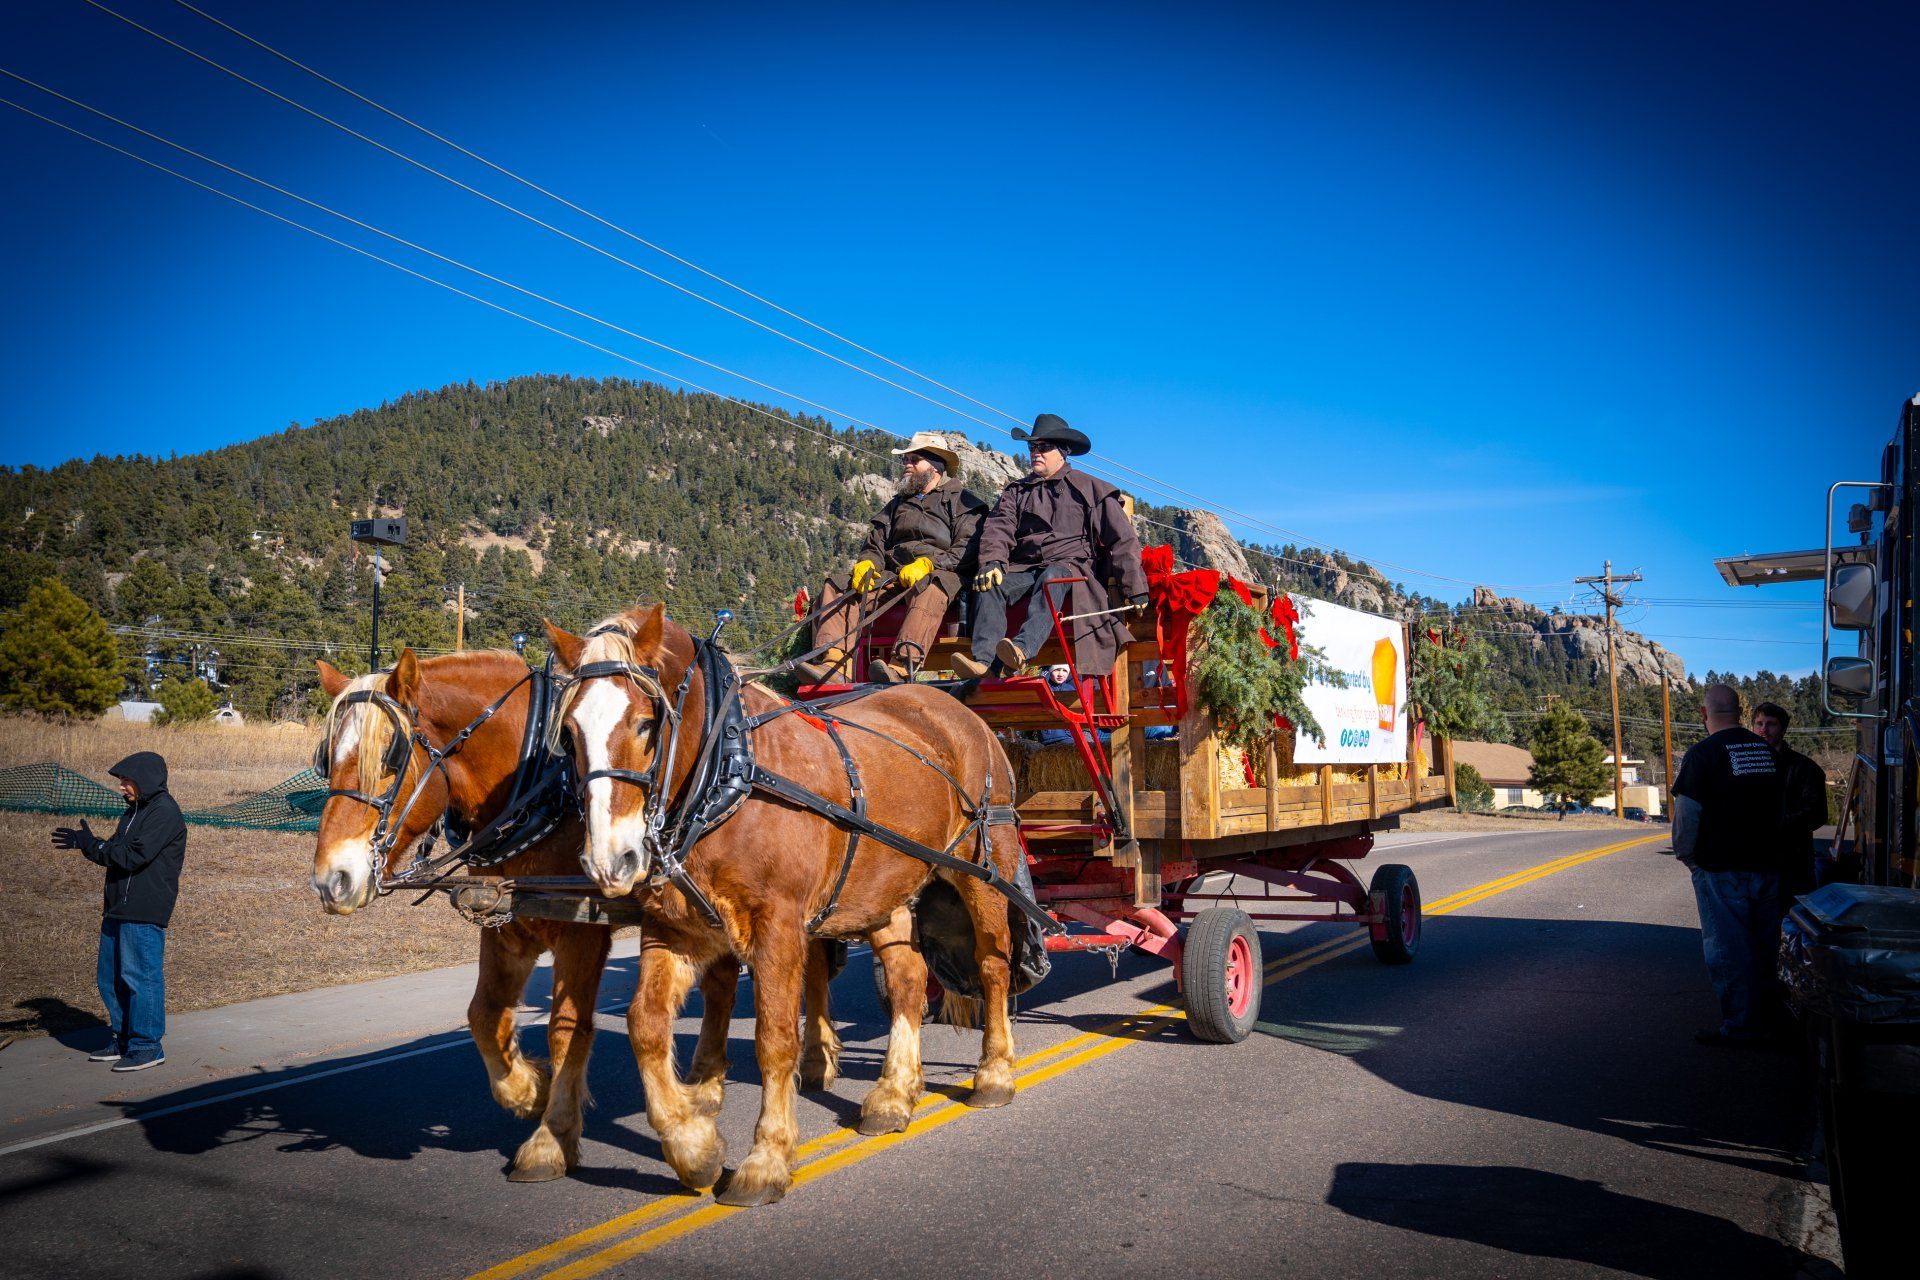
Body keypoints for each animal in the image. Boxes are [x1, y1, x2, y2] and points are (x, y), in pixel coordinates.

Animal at [311, 656, 844, 1189]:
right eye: (325, 759)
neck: (541, 792)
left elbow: (567, 1030)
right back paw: (712, 1084)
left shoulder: (581, 932)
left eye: (390, 758)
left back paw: (812, 1059)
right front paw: (528, 1090)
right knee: (729, 982)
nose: (331, 880)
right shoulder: (509, 925)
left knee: (808, 965)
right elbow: (483, 1016)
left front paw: (552, 1136)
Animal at [552, 606, 1036, 1205]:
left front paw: (767, 1157)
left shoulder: (778, 926)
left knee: (993, 964)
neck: (729, 776)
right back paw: (893, 1094)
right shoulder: (674, 927)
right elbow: (644, 1024)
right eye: (569, 734)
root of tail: (951, 704)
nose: (609, 861)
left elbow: (775, 1037)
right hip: (883, 889)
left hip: (983, 867)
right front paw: (692, 1146)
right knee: (907, 977)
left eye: (646, 724)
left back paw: (995, 1073)